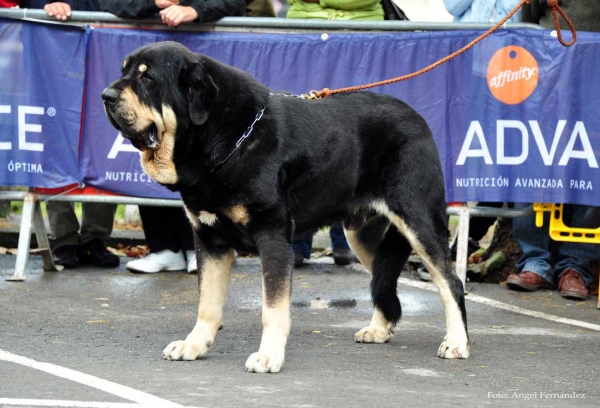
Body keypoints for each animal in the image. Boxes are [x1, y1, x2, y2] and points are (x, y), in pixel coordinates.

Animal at [102, 41, 468, 372]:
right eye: (123, 71)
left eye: (148, 78)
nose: (105, 95)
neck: (228, 140)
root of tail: (418, 118)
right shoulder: (209, 240)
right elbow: (207, 304)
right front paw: (193, 344)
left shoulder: (273, 236)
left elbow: (272, 308)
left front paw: (268, 356)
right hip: (362, 234)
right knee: (385, 274)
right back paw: (379, 328)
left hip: (418, 220)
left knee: (450, 282)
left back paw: (456, 342)